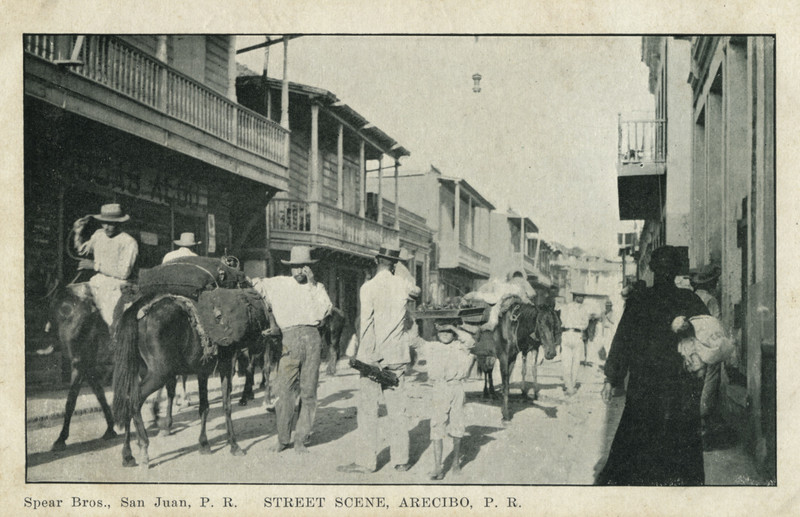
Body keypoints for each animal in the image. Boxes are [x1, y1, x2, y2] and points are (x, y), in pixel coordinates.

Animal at [108, 294, 260, 468]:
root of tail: (141, 311)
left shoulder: (202, 372)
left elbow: (204, 407)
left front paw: (204, 443)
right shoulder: (226, 367)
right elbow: (226, 406)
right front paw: (234, 444)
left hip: (139, 371)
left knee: (127, 399)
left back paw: (128, 454)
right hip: (159, 374)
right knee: (134, 400)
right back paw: (144, 447)